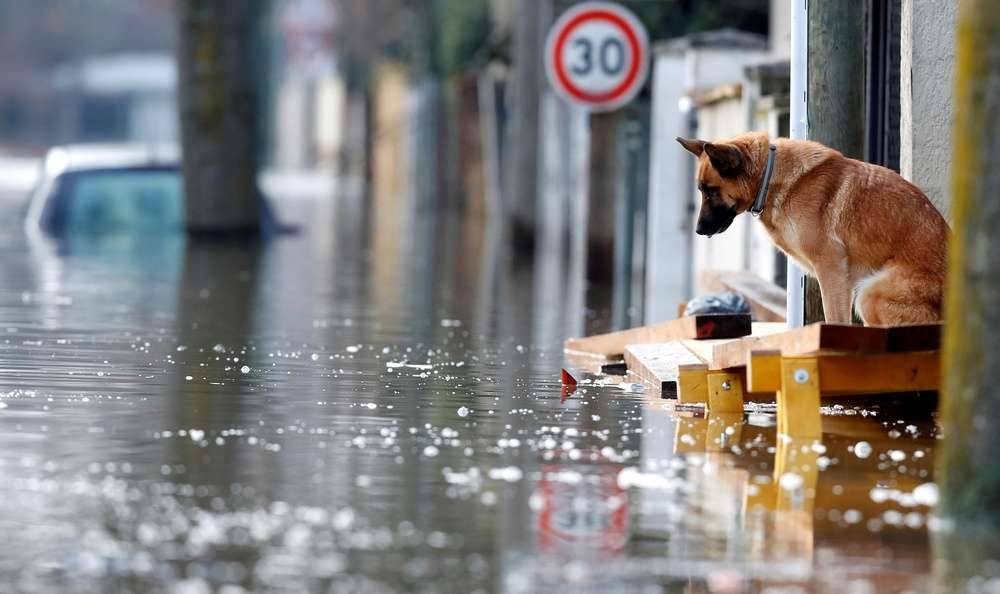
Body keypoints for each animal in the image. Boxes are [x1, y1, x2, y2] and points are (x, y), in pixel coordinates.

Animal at [680, 132, 944, 324]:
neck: (770, 176)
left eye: (711, 191)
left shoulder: (831, 270)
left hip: (869, 295)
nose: (698, 230)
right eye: (701, 190)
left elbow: (835, 320)